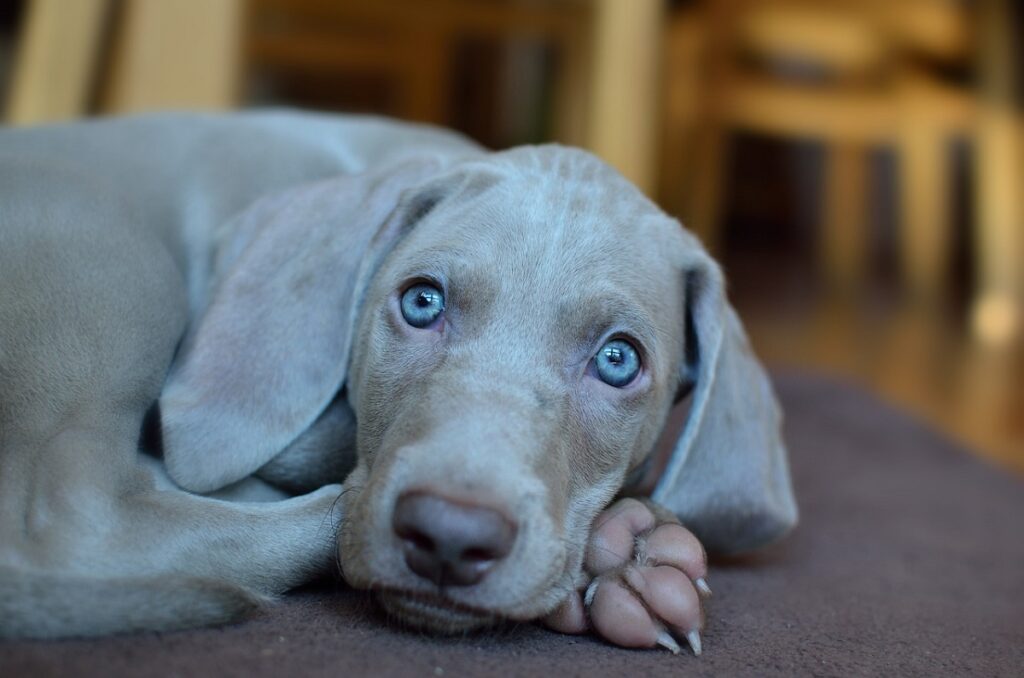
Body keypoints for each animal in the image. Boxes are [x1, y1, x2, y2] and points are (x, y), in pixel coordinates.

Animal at [0, 112, 798, 659]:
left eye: (619, 361)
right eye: (421, 302)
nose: (450, 536)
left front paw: (628, 556)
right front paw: (622, 555)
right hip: (110, 253)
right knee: (81, 518)